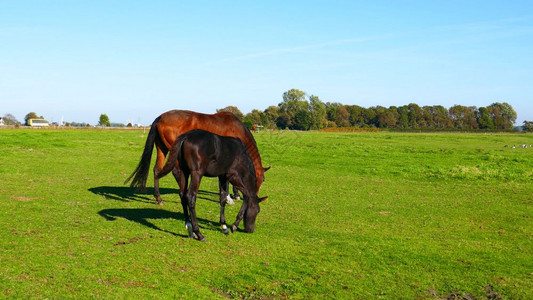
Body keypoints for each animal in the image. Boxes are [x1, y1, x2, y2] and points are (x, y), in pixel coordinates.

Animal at [123, 109, 268, 205]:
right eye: (258, 180)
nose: (256, 199)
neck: (237, 130)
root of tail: (160, 117)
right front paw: (229, 197)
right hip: (174, 151)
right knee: (176, 172)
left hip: (161, 148)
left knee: (157, 170)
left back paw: (159, 198)